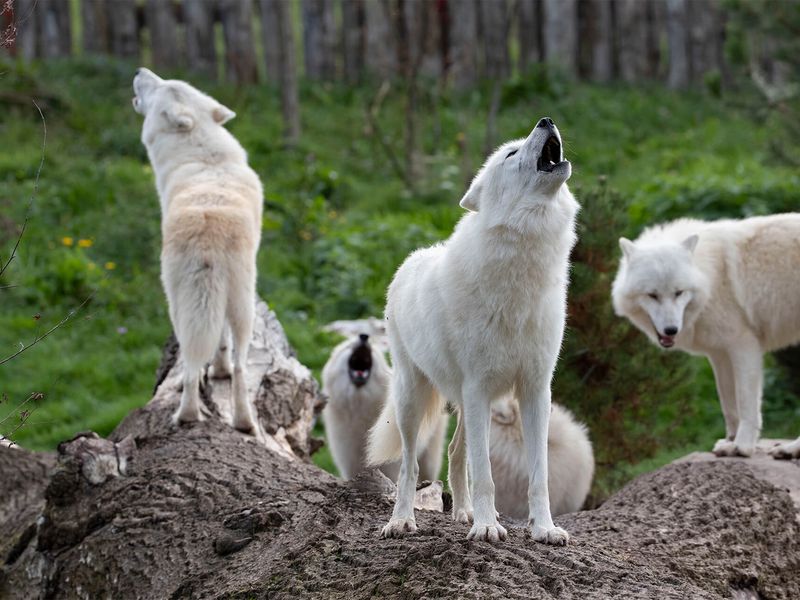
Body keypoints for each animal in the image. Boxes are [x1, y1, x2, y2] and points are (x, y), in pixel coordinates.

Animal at [133, 68, 260, 434]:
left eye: (162, 86)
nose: (140, 71)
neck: (202, 152)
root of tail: (209, 231)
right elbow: (220, 343)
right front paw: (220, 372)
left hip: (178, 305)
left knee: (192, 362)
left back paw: (188, 416)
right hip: (239, 305)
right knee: (237, 366)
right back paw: (242, 423)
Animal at [320, 332, 446, 482]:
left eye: (372, 350)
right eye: (348, 346)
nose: (364, 337)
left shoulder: (390, 465)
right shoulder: (350, 463)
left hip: (429, 457)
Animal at [612, 216, 800, 460]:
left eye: (678, 292)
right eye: (652, 295)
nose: (671, 330)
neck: (710, 277)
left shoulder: (744, 346)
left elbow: (745, 403)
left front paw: (742, 446)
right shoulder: (719, 354)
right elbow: (729, 405)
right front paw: (729, 442)